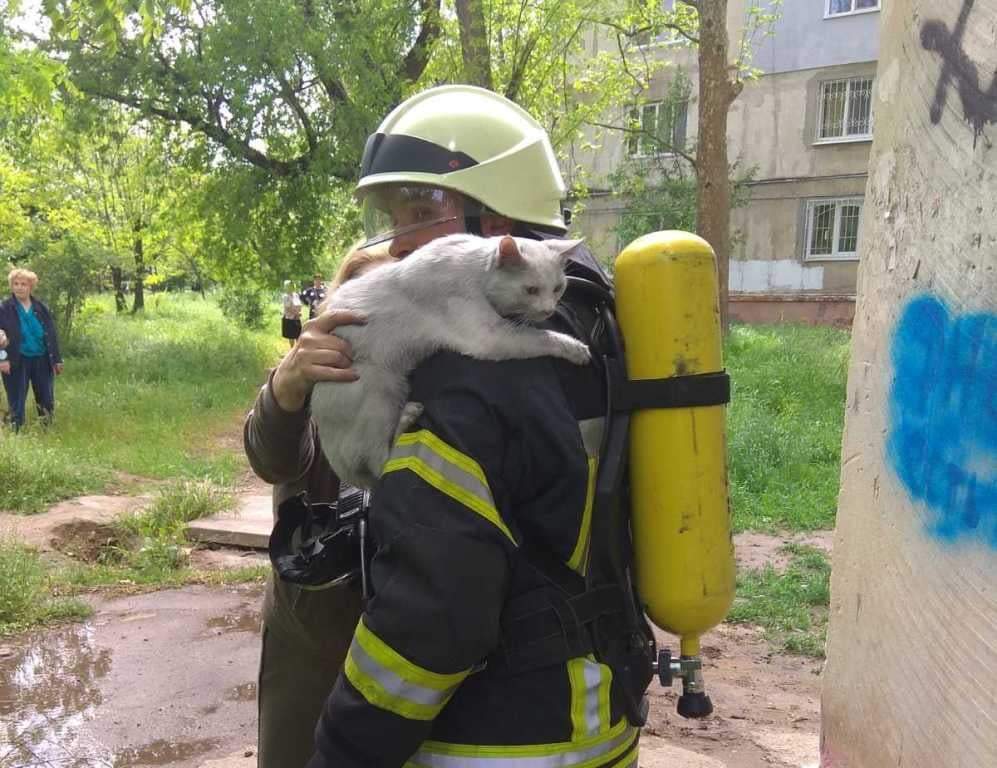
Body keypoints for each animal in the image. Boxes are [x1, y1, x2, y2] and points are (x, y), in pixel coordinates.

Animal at [312, 232, 592, 486]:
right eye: (531, 290)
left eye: (557, 288)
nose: (549, 310)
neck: (476, 270)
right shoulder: (488, 336)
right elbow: (543, 337)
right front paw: (576, 348)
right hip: (379, 390)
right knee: (379, 462)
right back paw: (408, 415)